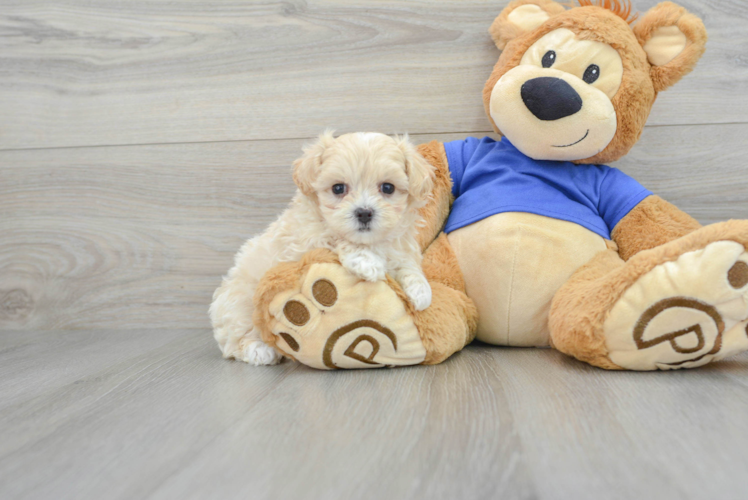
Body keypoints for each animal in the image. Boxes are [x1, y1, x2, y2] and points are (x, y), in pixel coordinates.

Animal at [207, 131, 436, 366]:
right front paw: (367, 262)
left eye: (388, 187)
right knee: (235, 336)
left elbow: (407, 264)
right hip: (239, 303)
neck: (370, 242)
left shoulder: (399, 246)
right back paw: (259, 349)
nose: (364, 213)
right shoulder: (307, 240)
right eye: (338, 188)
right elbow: (334, 237)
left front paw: (421, 291)